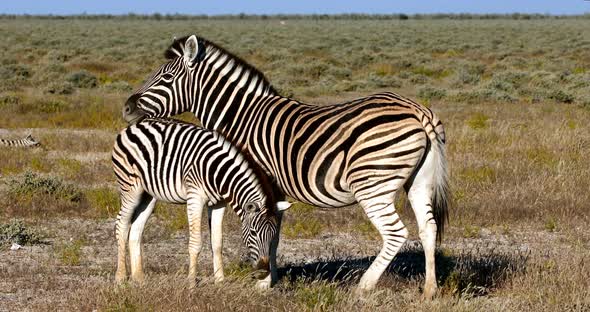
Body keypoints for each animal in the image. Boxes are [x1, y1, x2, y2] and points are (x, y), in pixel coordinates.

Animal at [111, 117, 292, 288]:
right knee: (122, 224)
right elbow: (195, 243)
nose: (263, 272)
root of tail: (132, 126)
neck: (220, 173)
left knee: (136, 228)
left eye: (273, 235)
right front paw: (191, 283)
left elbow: (217, 243)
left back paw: (139, 279)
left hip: (148, 194)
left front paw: (220, 281)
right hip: (130, 188)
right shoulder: (195, 197)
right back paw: (120, 278)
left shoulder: (218, 203)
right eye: (253, 233)